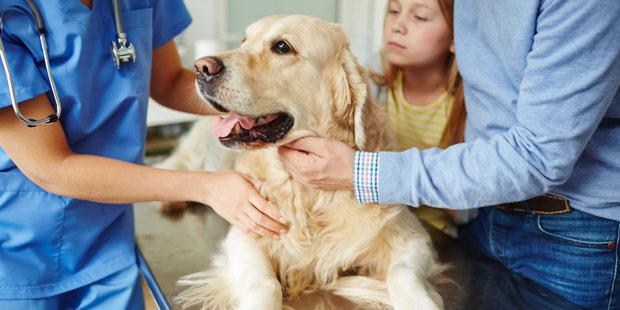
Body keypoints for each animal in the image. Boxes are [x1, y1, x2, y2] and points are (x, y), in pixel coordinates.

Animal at [160, 15, 440, 310]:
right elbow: (265, 283)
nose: (201, 68)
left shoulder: (412, 235)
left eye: (282, 47)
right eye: (244, 41)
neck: (308, 195)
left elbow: (403, 274)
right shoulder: (245, 232)